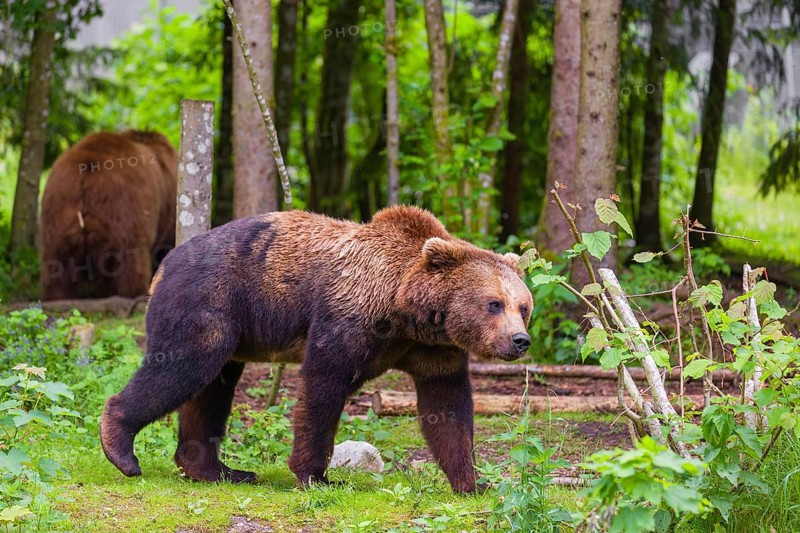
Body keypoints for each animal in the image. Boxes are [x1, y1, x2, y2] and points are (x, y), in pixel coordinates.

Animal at [39, 130, 178, 300]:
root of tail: (86, 175)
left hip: (57, 214)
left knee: (58, 267)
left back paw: (58, 296)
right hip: (125, 212)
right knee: (130, 261)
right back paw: (133, 293)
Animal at [100, 206, 532, 493]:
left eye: (523, 306)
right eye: (494, 303)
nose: (520, 340)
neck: (405, 310)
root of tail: (165, 264)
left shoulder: (433, 350)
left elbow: (447, 406)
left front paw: (473, 482)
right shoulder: (348, 318)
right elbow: (323, 386)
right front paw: (318, 475)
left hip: (234, 330)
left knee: (212, 388)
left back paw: (220, 470)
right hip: (209, 302)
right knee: (183, 367)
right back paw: (121, 448)